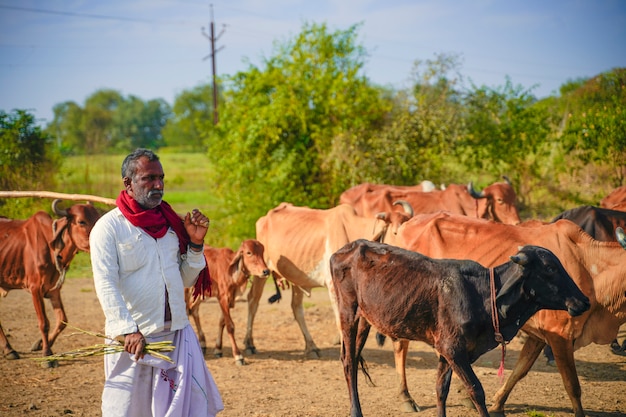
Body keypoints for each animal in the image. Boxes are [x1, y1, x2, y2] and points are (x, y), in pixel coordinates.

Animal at [0, 201, 100, 360]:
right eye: (81, 221)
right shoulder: (35, 288)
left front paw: (40, 344)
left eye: (98, 217)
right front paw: (47, 353)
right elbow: (44, 323)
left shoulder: (54, 290)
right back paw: (9, 350)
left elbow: (62, 320)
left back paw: (9, 349)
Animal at [244, 202, 410, 358]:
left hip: (297, 276)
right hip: (261, 270)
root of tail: (265, 217)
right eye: (395, 232)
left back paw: (311, 347)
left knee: (296, 308)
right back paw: (249, 344)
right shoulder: (333, 287)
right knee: (253, 301)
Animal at [330, 239, 588, 416]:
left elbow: (441, 389)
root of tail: (348, 247)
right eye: (550, 268)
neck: (484, 296)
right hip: (347, 313)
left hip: (364, 319)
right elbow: (476, 390)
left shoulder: (448, 351)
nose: (584, 301)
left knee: (354, 358)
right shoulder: (452, 349)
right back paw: (356, 411)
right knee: (348, 361)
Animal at [380, 213, 624, 416]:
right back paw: (406, 397)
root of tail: (406, 223)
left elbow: (519, 371)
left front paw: (497, 404)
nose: (583, 302)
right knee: (401, 347)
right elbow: (572, 385)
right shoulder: (559, 335)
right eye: (551, 269)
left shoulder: (538, 336)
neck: (590, 266)